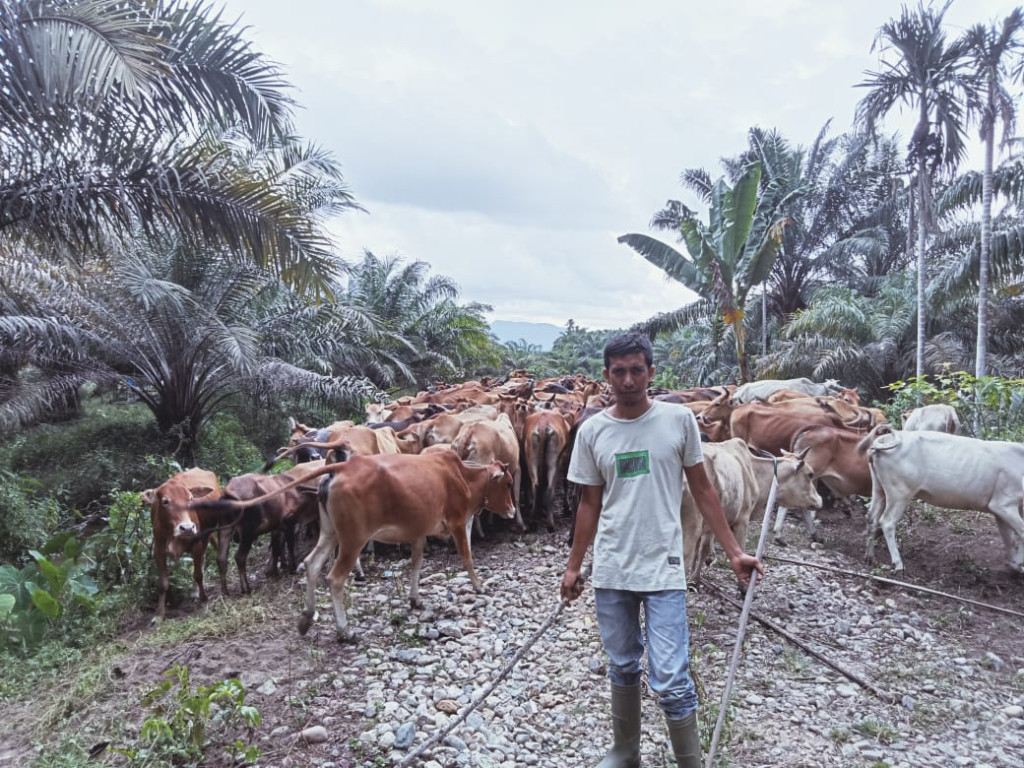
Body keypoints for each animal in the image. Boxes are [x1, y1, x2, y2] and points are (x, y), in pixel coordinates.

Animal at [141, 466, 223, 622]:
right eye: (165, 501)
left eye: (190, 499)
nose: (187, 528)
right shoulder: (158, 550)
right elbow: (163, 584)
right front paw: (159, 614)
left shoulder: (197, 544)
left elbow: (198, 575)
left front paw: (204, 599)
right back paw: (195, 592)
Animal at [679, 438, 823, 581]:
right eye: (810, 474)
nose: (820, 500)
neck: (753, 470)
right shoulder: (741, 520)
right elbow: (722, 550)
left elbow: (701, 548)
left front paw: (695, 575)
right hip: (690, 529)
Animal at [856, 428, 1024, 573]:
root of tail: (886, 439)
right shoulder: (1004, 504)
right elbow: (1021, 533)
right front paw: (1019, 565)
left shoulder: (998, 509)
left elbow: (1009, 538)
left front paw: (1014, 564)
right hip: (899, 493)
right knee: (887, 521)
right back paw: (898, 563)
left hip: (879, 489)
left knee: (871, 517)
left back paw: (869, 557)